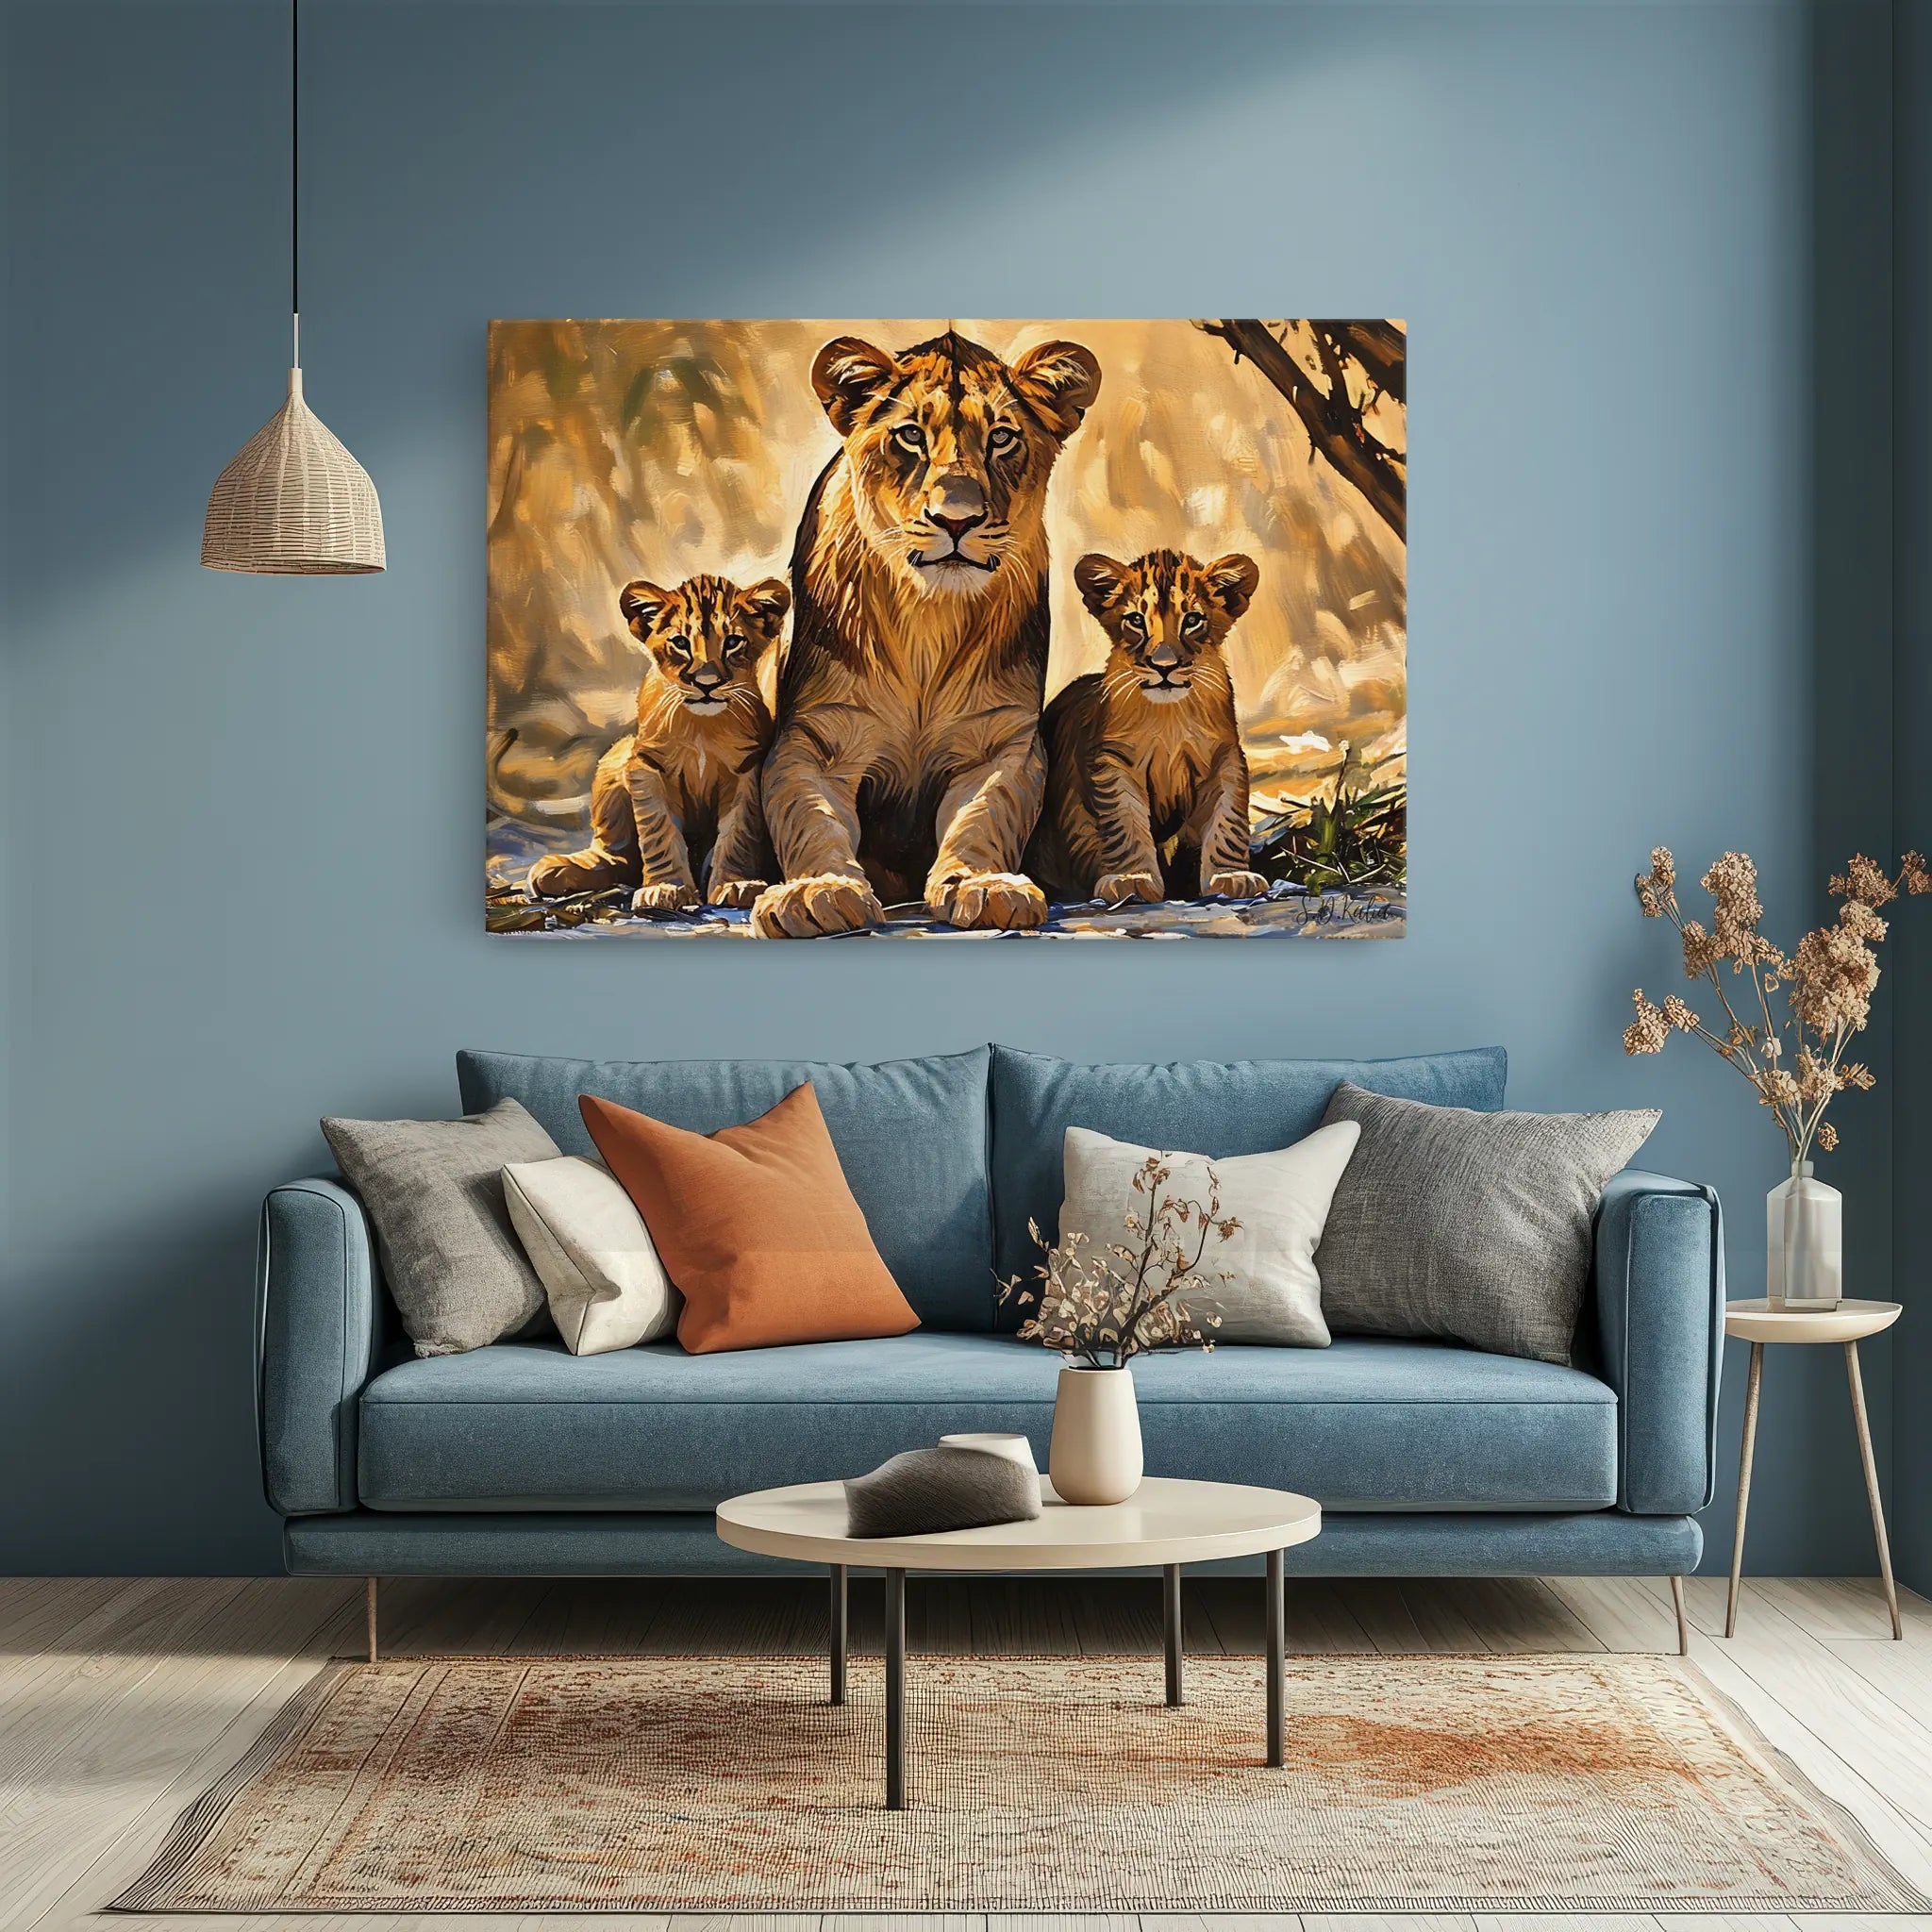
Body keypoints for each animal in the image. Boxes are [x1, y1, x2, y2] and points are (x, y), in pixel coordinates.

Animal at [527, 573, 788, 914]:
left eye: (733, 642)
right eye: (680, 643)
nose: (707, 684)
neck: (702, 726)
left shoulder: (746, 769)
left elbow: (738, 833)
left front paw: (736, 884)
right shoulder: (646, 766)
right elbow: (657, 832)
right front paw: (665, 887)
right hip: (616, 756)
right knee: (618, 856)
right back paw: (558, 870)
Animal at [751, 328, 1101, 937]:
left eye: (1002, 438)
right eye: (911, 435)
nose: (956, 519)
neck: (928, 617)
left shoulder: (1002, 742)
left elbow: (982, 819)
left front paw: (985, 885)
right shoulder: (814, 741)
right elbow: (811, 819)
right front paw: (818, 891)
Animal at [1024, 549, 1270, 905]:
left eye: (1192, 620)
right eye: (1136, 621)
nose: (1163, 666)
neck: (1170, 717)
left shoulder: (1225, 758)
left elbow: (1228, 821)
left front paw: (1230, 876)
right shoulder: (1112, 762)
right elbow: (1125, 823)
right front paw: (1132, 880)